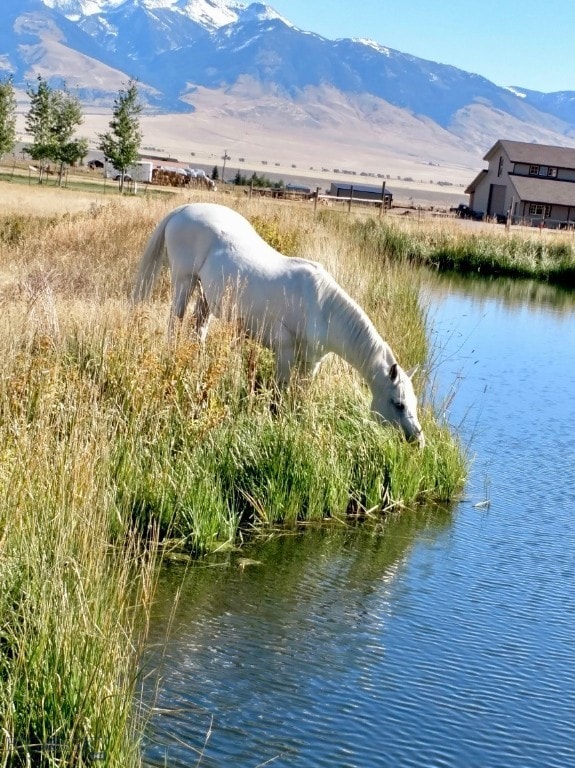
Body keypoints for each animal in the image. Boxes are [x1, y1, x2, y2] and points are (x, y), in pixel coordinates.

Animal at [133, 201, 426, 448]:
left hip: (206, 295)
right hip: (184, 281)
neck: (321, 307)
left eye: (413, 402)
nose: (419, 441)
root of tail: (184, 209)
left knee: (198, 329)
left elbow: (300, 396)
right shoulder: (283, 353)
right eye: (398, 404)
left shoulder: (311, 363)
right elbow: (280, 393)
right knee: (175, 322)